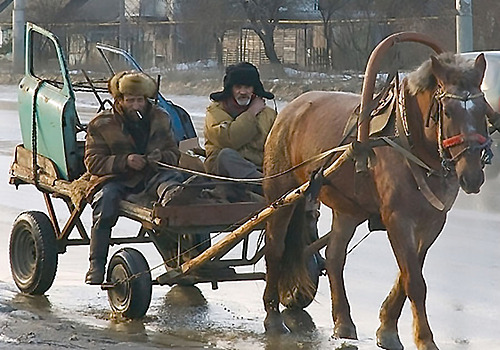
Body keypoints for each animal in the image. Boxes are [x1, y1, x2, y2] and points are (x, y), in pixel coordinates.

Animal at [264, 37, 490, 348]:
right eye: (448, 111)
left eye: (482, 110)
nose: (471, 176)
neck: (409, 141)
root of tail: (290, 110)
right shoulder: (398, 219)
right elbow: (414, 281)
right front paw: (424, 338)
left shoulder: (432, 222)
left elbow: (407, 275)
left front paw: (387, 326)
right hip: (281, 193)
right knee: (275, 248)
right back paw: (273, 315)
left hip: (347, 210)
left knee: (334, 257)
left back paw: (343, 322)